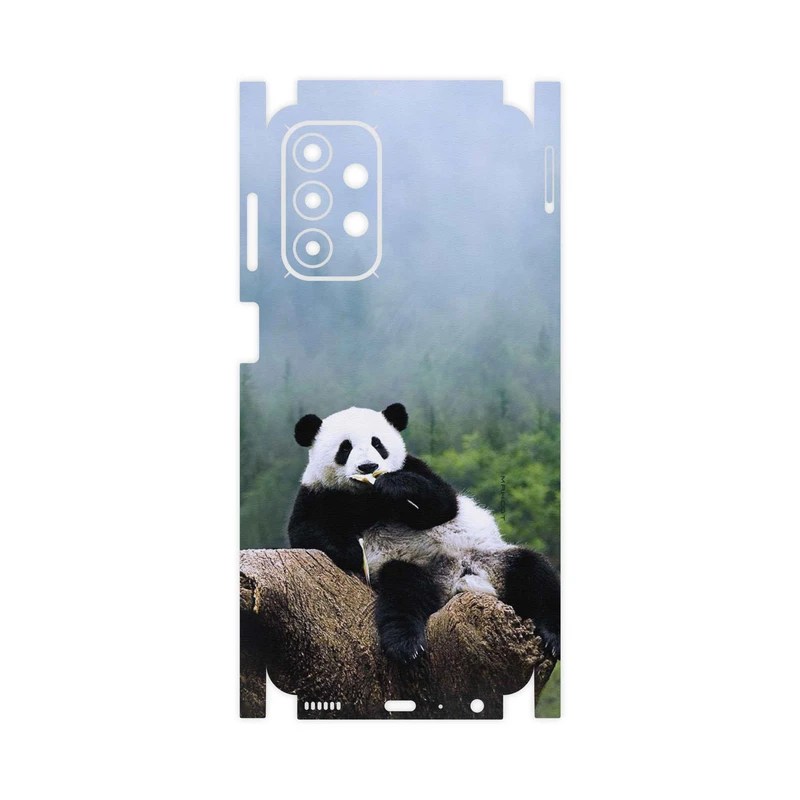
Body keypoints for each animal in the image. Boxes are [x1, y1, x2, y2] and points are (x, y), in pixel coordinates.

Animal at [288, 403, 560, 663]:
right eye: (345, 448)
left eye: (378, 444)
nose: (368, 466)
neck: (367, 496)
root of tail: (457, 580)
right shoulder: (318, 493)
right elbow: (305, 531)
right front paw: (354, 551)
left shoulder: (415, 467)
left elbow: (442, 504)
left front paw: (394, 486)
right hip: (413, 567)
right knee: (403, 591)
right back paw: (405, 645)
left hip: (490, 558)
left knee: (534, 573)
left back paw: (553, 636)